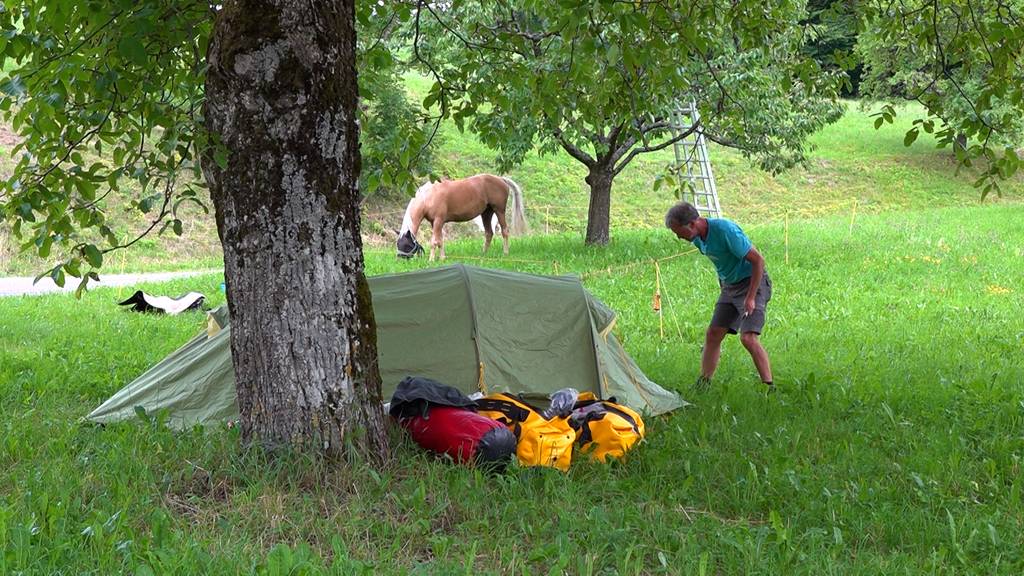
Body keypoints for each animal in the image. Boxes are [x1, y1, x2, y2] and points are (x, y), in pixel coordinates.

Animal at [395, 171, 528, 259]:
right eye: (398, 243)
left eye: (406, 244)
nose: (400, 259)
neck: (428, 196)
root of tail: (501, 179)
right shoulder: (435, 223)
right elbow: (440, 240)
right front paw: (442, 258)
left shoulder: (438, 221)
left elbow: (434, 241)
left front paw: (431, 260)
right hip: (486, 213)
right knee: (489, 233)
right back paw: (483, 253)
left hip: (499, 210)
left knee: (505, 231)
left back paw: (505, 253)